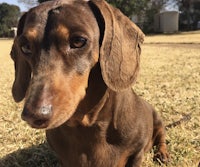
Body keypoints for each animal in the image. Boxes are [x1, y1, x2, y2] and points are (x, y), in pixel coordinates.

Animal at [10, 0, 170, 166]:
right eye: (25, 47)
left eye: (78, 41)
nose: (33, 116)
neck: (86, 125)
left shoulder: (137, 152)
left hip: (158, 121)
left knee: (162, 138)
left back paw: (163, 153)